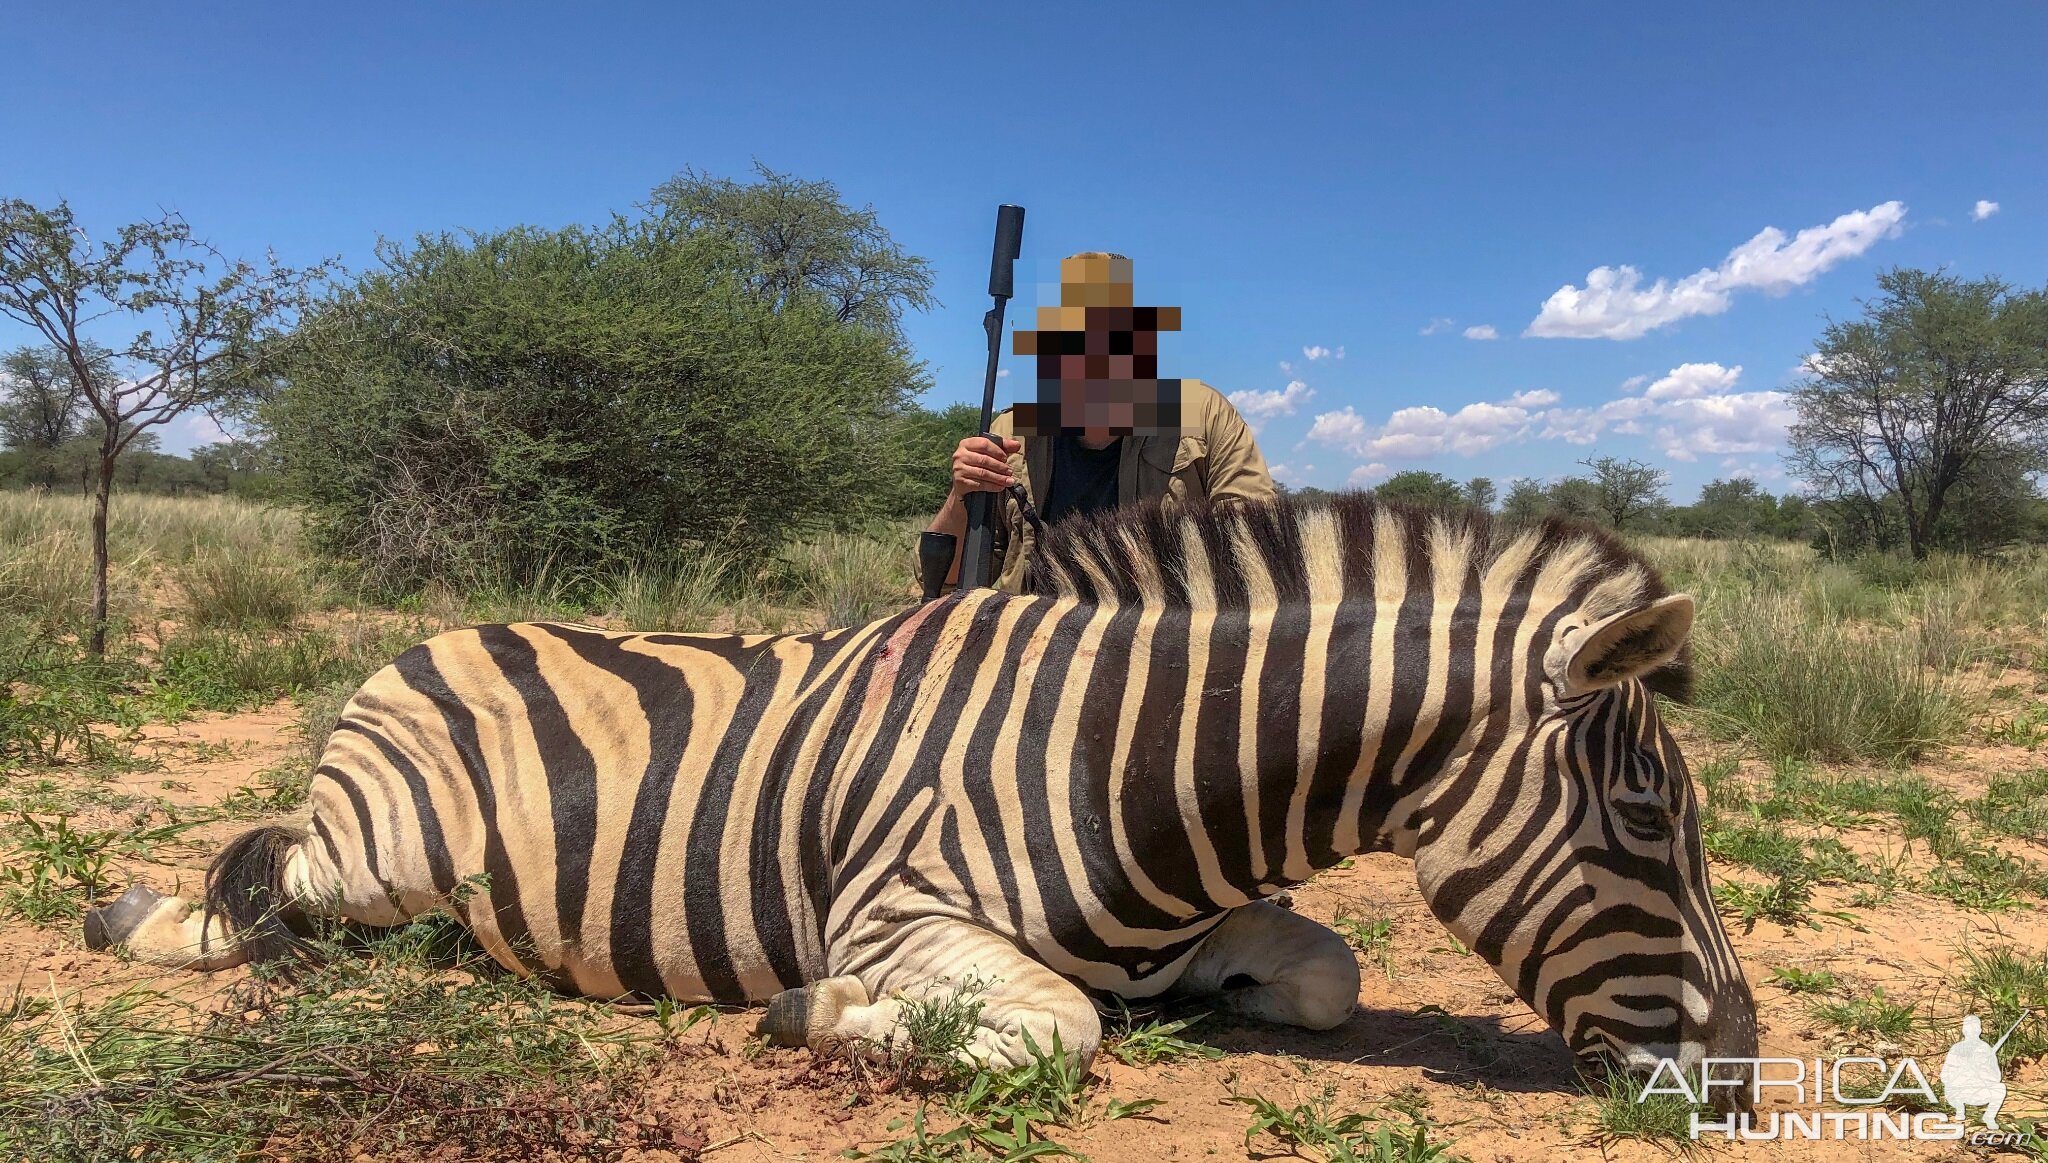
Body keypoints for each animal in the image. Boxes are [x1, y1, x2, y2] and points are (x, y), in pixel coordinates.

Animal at [88, 493, 1761, 1089]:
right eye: (1651, 824)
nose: (1743, 1072)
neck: (1136, 773)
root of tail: (434, 632)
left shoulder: (1226, 921)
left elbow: (1329, 973)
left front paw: (1219, 997)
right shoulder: (895, 911)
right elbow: (1061, 1023)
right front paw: (817, 1015)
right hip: (376, 850)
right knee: (259, 882)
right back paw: (136, 915)